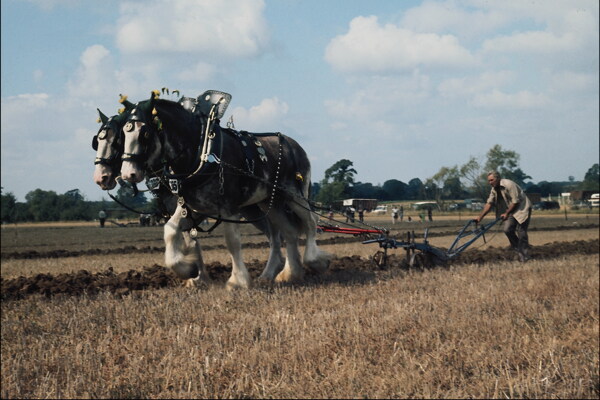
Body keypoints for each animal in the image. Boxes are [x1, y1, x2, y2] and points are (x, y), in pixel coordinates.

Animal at [119, 90, 330, 288]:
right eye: (123, 134)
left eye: (145, 134)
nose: (128, 174)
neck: (201, 151)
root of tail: (294, 145)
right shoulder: (192, 207)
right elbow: (170, 231)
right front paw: (188, 269)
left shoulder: (228, 207)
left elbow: (232, 241)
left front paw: (238, 281)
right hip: (271, 203)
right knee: (289, 232)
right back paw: (287, 274)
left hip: (295, 194)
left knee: (311, 222)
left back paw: (315, 260)